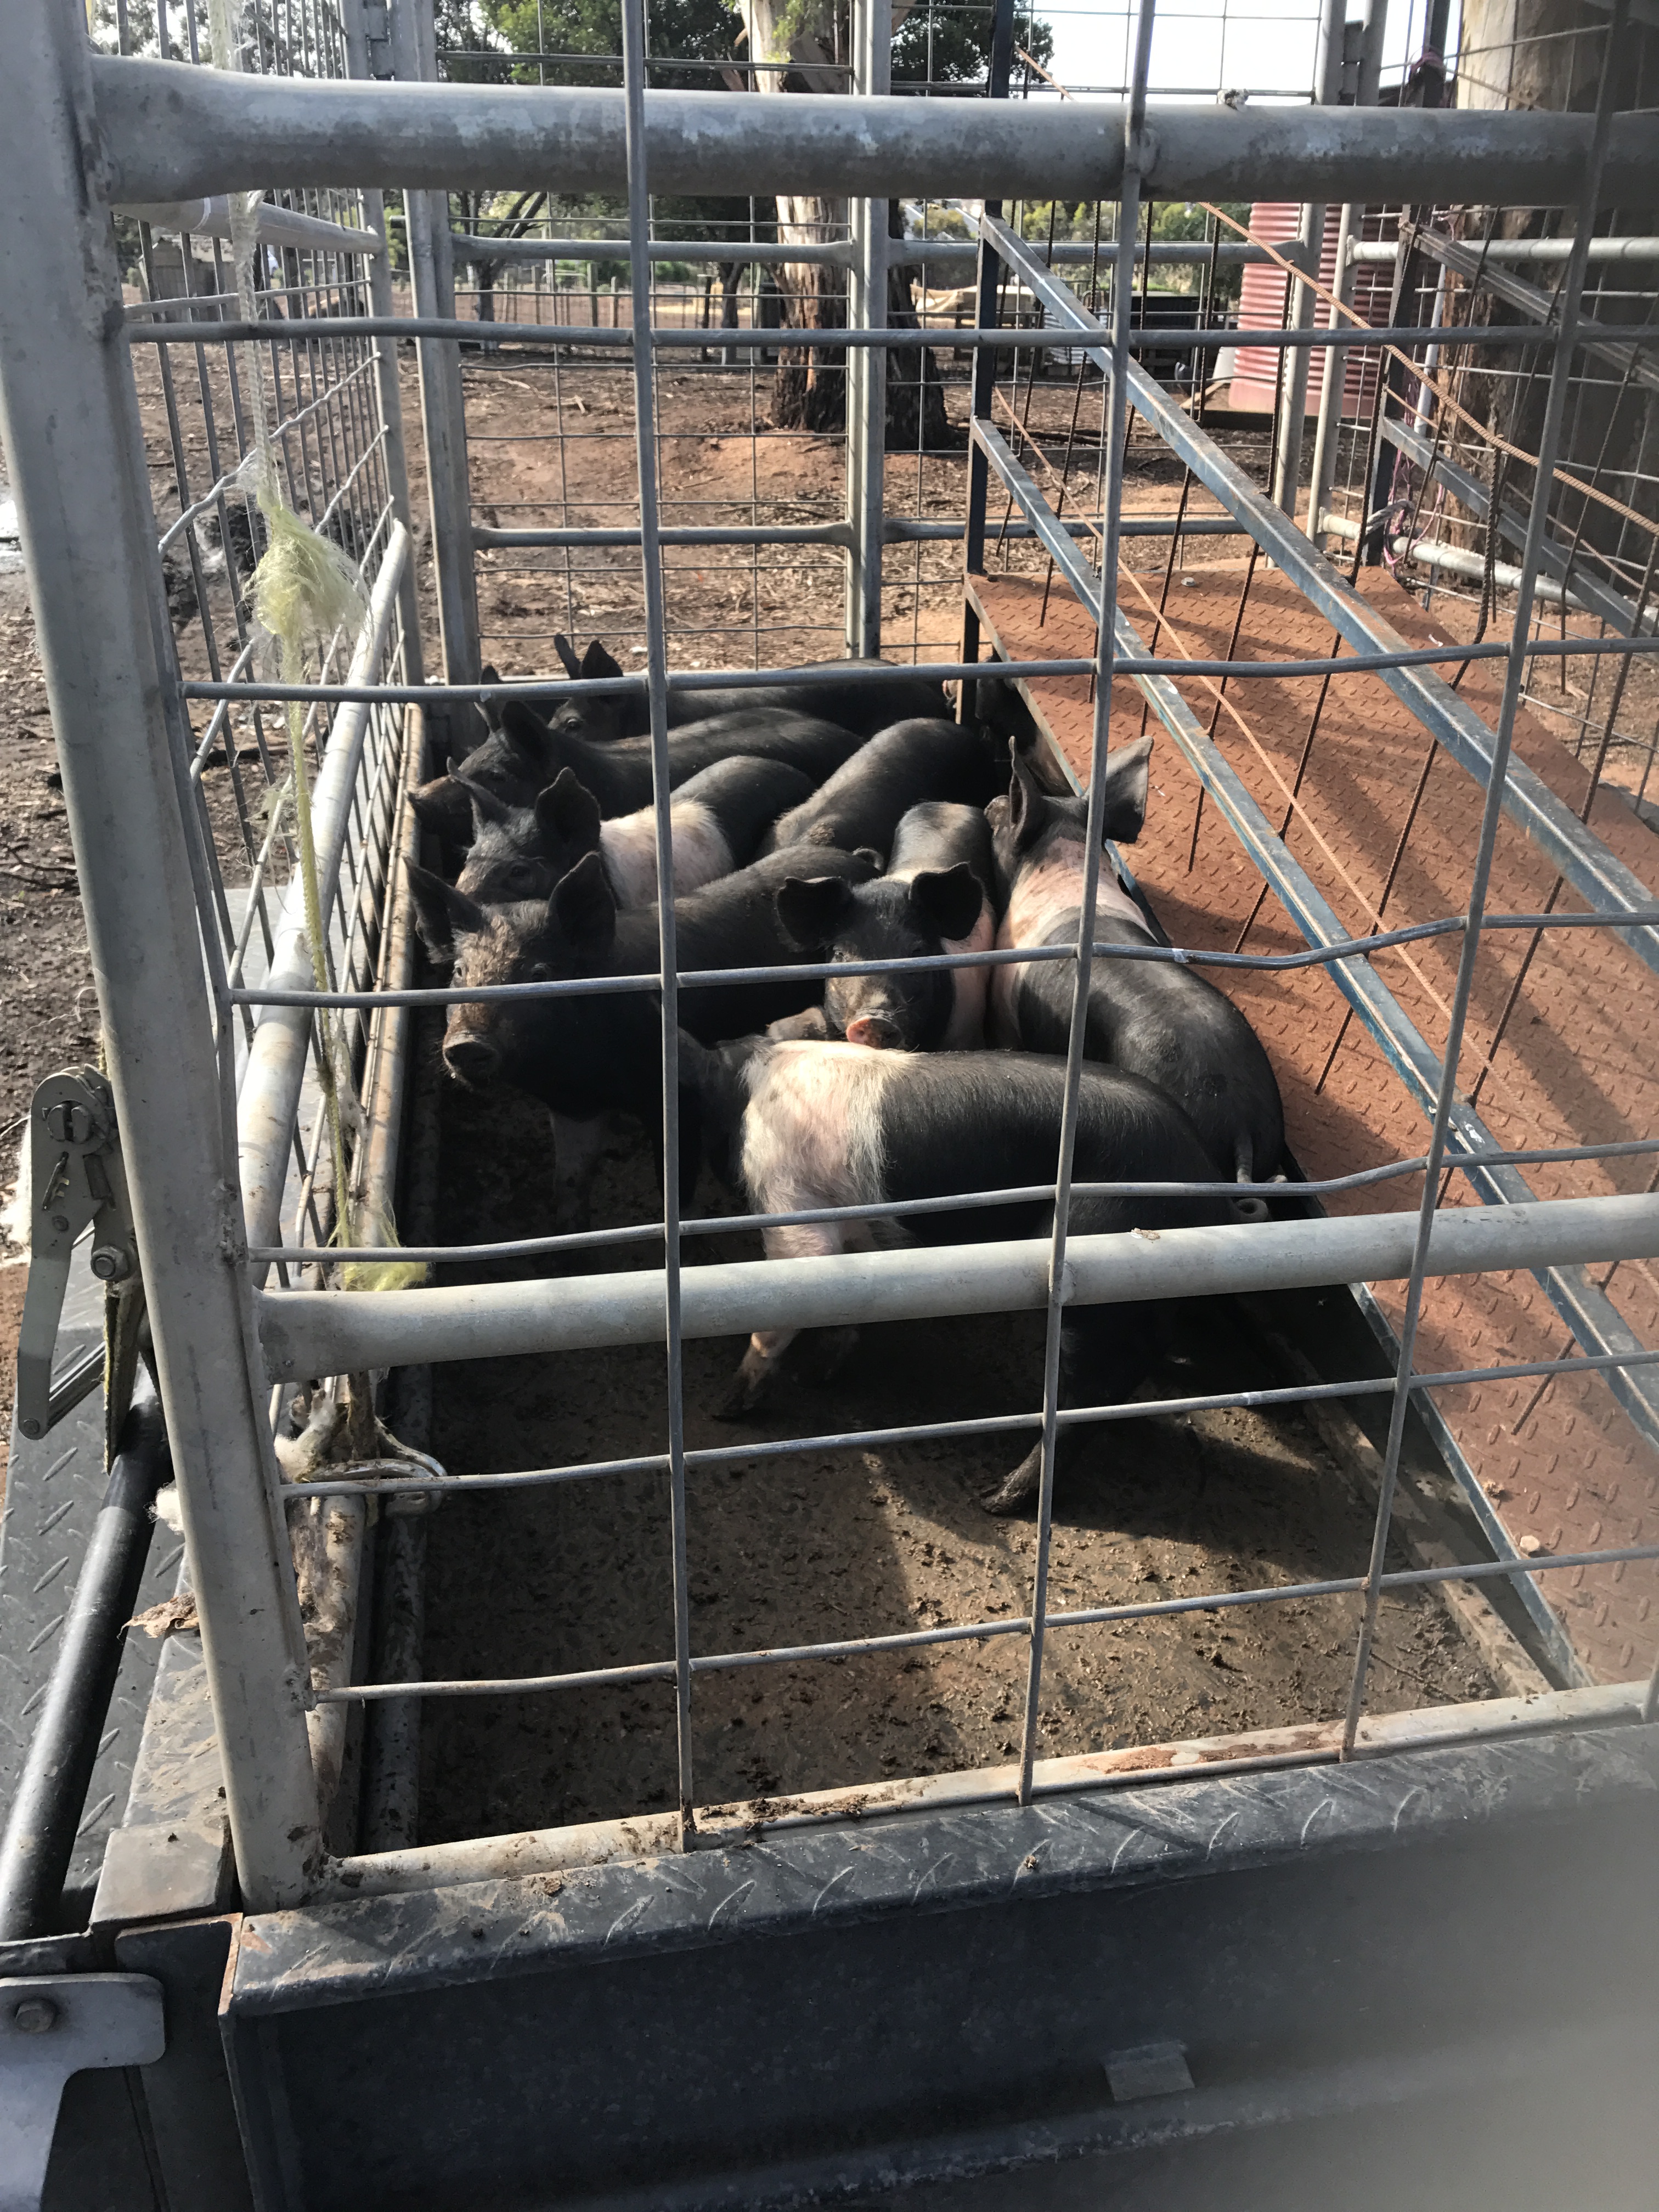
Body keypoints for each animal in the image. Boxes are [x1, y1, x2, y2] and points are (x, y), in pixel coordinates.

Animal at [407, 844, 878, 1229]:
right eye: (460, 972)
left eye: (539, 974)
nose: (467, 1044)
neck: (574, 1073)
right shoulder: (572, 1107)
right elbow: (570, 1180)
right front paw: (570, 1240)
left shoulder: (675, 1098)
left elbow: (676, 1188)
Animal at [678, 1034, 1233, 1512]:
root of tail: (1204, 1179)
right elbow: (845, 1304)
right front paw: (816, 1377)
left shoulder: (791, 1202)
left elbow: (786, 1300)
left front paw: (725, 1408)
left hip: (1097, 1268)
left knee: (1084, 1398)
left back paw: (994, 1500)